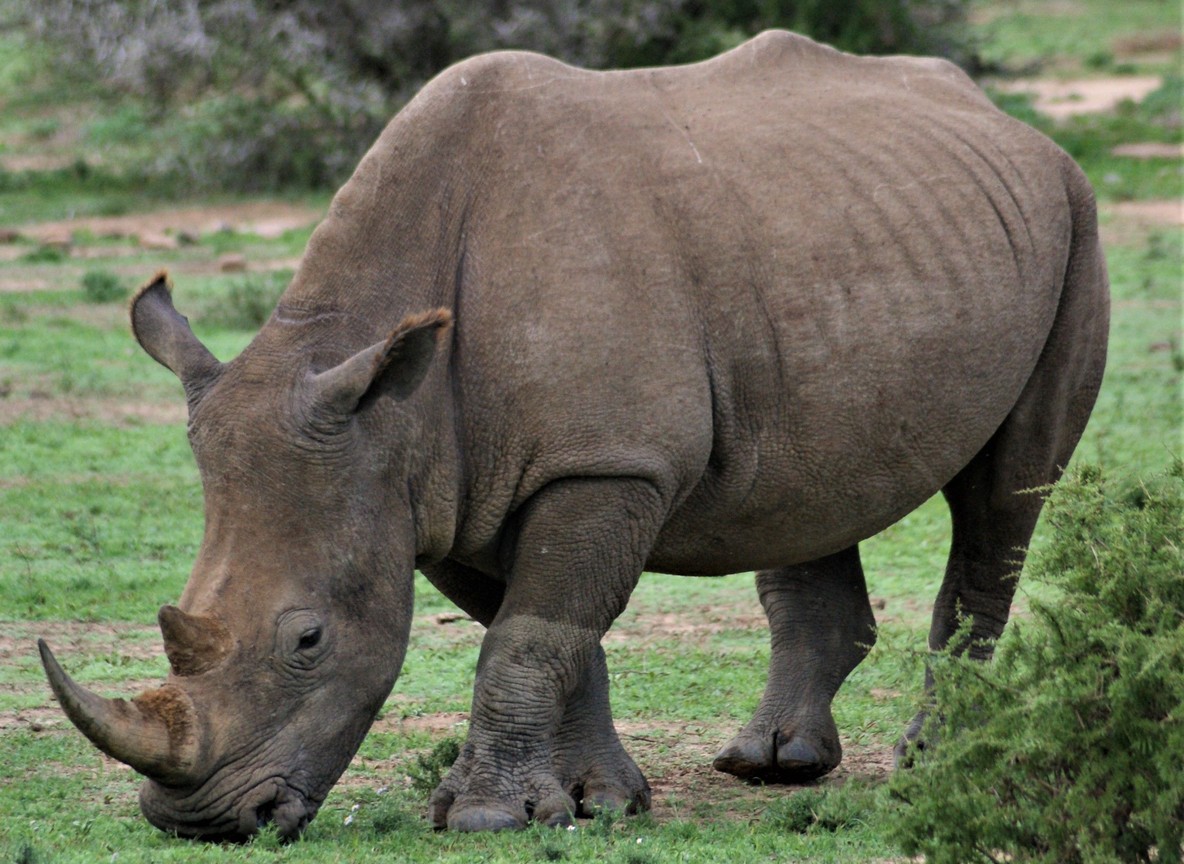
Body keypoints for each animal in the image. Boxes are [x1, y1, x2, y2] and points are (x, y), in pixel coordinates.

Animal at [39, 31, 1109, 840]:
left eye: (307, 640)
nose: (204, 823)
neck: (385, 401)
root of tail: (1009, 123)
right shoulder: (444, 485)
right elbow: (552, 633)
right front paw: (599, 802)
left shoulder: (598, 466)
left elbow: (530, 635)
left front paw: (483, 817)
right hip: (852, 233)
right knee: (807, 488)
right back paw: (773, 764)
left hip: (1075, 218)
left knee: (1005, 495)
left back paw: (930, 762)